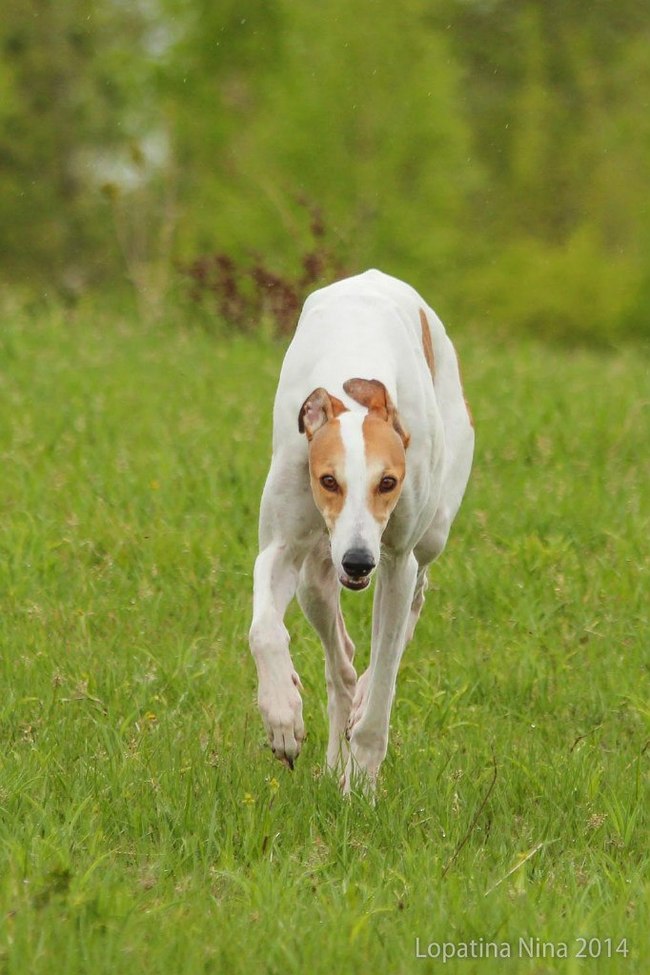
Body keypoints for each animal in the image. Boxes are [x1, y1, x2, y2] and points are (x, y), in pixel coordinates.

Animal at [248, 266, 470, 792]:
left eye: (387, 482)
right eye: (328, 480)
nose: (357, 562)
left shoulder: (395, 560)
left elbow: (385, 676)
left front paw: (363, 785)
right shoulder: (280, 545)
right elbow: (263, 630)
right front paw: (282, 716)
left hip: (432, 533)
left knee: (414, 599)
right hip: (314, 577)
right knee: (341, 662)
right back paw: (332, 753)